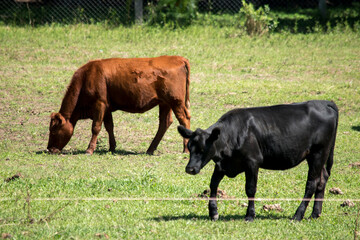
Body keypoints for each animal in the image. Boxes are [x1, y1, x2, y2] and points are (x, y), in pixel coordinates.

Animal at [47, 55, 191, 155]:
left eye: (53, 130)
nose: (49, 149)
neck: (87, 77)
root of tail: (178, 58)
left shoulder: (99, 104)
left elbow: (96, 127)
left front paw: (89, 150)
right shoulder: (107, 108)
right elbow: (109, 126)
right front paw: (112, 147)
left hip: (176, 102)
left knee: (184, 120)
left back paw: (185, 149)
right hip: (165, 103)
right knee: (165, 123)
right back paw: (150, 149)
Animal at [179, 100, 338, 222]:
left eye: (203, 149)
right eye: (189, 147)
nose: (190, 169)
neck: (233, 134)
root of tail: (324, 103)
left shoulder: (252, 162)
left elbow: (250, 188)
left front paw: (250, 215)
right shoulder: (222, 165)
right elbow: (213, 185)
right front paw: (213, 213)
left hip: (318, 153)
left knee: (311, 184)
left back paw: (298, 215)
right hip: (317, 156)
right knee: (322, 179)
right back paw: (315, 214)